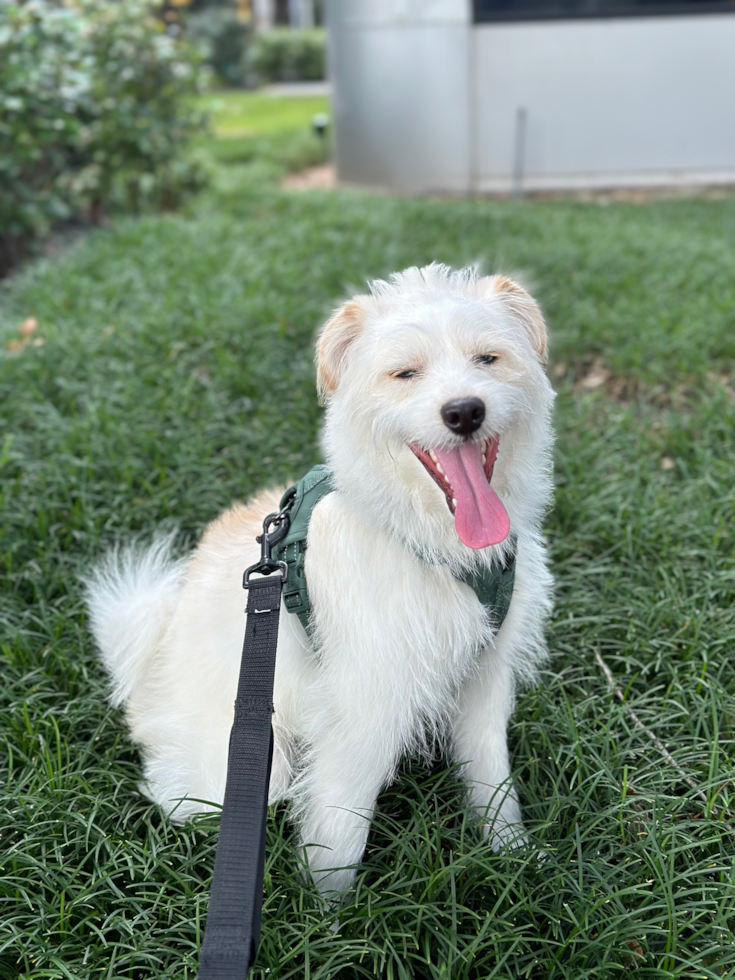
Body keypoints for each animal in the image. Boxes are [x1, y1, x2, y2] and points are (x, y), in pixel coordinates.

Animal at [86, 264, 556, 892]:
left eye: (488, 358)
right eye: (405, 373)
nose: (464, 411)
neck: (426, 543)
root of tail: (151, 661)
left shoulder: (484, 677)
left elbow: (492, 782)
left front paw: (515, 860)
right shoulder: (364, 707)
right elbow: (340, 830)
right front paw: (330, 916)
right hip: (256, 767)